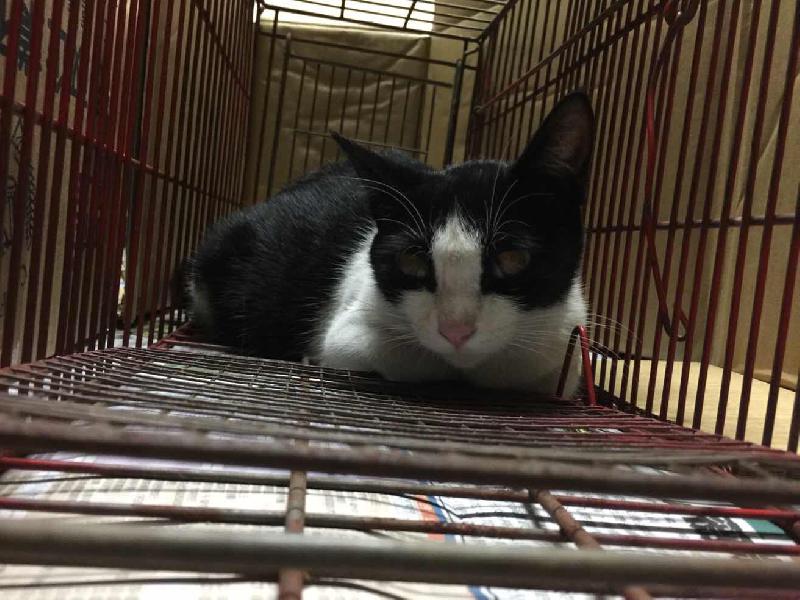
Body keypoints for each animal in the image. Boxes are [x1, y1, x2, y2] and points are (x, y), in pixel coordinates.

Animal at [186, 91, 594, 396]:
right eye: (411, 261)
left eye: (512, 258)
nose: (456, 331)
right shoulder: (344, 333)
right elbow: (406, 355)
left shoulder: (565, 335)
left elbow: (549, 367)